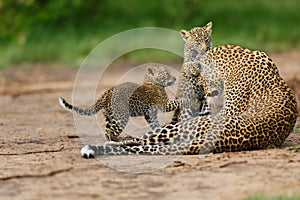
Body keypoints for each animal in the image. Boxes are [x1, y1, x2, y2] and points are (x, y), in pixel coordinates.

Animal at [80, 22, 298, 158]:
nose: (209, 93)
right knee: (144, 140)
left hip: (181, 128)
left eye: (201, 75)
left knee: (144, 140)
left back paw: (101, 145)